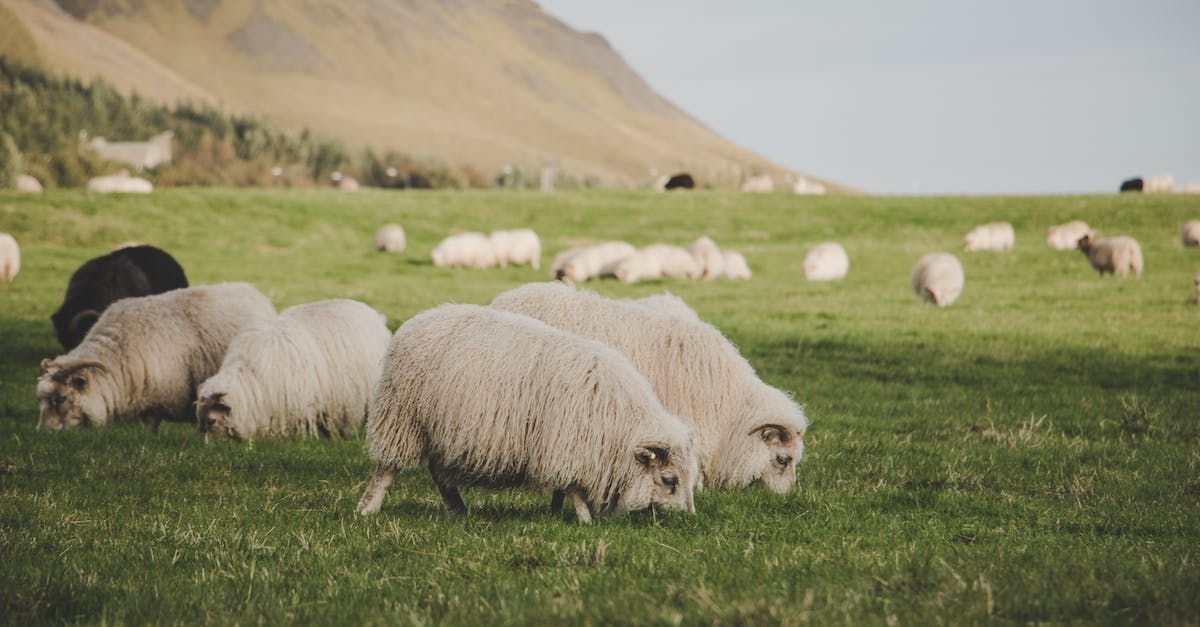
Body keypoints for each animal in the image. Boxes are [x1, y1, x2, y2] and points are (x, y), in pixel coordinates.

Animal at [37, 283, 276, 432]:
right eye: (41, 399)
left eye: (61, 398)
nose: (43, 433)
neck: (117, 353)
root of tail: (254, 292)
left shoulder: (158, 396)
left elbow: (152, 427)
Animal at [358, 304, 698, 522]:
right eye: (669, 480)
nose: (688, 520)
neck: (619, 421)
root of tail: (416, 321)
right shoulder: (567, 445)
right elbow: (574, 488)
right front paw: (585, 519)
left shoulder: (561, 448)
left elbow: (562, 487)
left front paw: (556, 513)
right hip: (403, 417)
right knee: (387, 468)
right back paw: (368, 508)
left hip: (441, 429)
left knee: (439, 474)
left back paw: (458, 510)